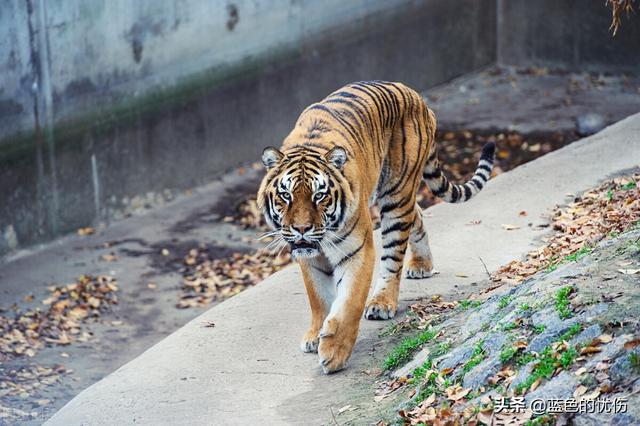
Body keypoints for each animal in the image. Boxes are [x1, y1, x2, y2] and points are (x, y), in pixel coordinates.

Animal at [255, 80, 496, 372]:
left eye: (319, 195)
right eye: (286, 195)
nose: (302, 229)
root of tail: (414, 95)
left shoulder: (356, 250)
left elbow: (349, 302)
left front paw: (334, 353)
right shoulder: (308, 257)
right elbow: (318, 298)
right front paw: (315, 336)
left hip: (396, 196)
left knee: (394, 256)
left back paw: (382, 303)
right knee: (418, 215)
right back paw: (422, 264)